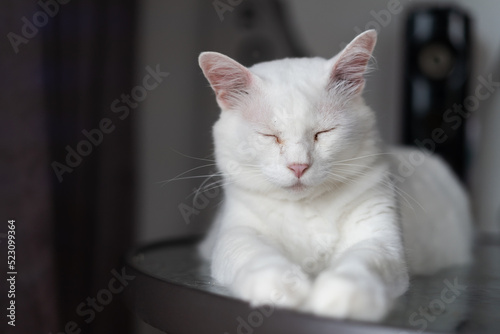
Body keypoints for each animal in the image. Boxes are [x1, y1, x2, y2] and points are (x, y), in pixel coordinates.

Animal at [196, 30, 472, 320]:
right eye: (270, 136)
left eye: (323, 133)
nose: (298, 166)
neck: (304, 209)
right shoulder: (237, 234)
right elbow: (256, 256)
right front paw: (280, 287)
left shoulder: (380, 240)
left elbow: (361, 265)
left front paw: (342, 295)